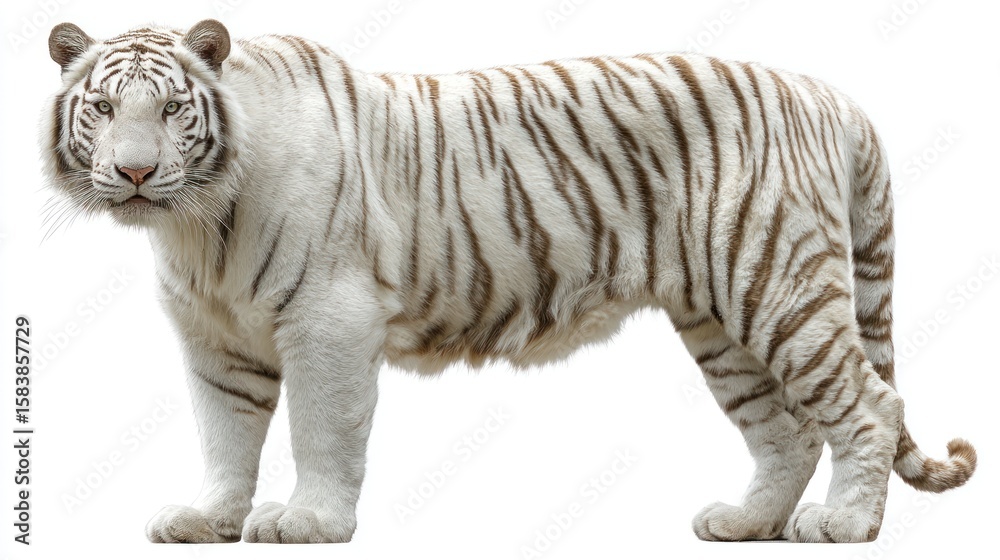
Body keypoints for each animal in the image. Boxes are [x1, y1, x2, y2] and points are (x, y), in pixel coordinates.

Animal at [42, 19, 976, 544]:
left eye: (171, 109)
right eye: (103, 108)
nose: (133, 173)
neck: (196, 222)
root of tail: (833, 95)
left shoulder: (329, 320)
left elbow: (319, 431)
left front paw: (307, 523)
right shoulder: (215, 340)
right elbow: (224, 436)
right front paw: (208, 521)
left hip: (778, 282)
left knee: (868, 404)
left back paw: (846, 524)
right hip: (721, 321)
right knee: (787, 429)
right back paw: (746, 524)